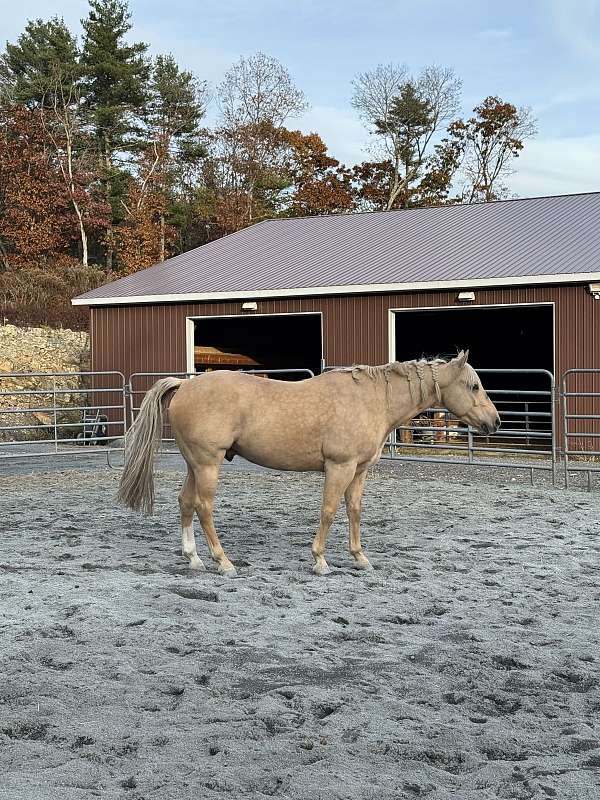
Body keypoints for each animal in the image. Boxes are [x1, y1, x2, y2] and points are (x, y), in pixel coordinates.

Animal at [116, 350, 496, 576]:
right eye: (474, 386)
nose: (495, 421)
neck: (372, 399)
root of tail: (184, 386)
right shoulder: (339, 467)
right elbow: (328, 511)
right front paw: (320, 560)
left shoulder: (359, 471)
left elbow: (354, 511)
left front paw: (360, 557)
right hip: (208, 465)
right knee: (204, 507)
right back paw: (223, 562)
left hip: (195, 465)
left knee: (185, 503)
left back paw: (193, 558)